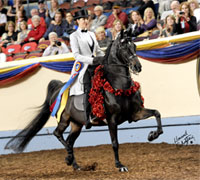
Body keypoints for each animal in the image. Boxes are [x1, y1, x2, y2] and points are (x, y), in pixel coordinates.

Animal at [5, 30, 163, 172]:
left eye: (135, 46)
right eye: (124, 47)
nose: (138, 67)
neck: (119, 86)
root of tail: (59, 88)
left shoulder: (135, 113)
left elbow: (157, 113)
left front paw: (152, 135)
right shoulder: (112, 119)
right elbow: (115, 143)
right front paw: (120, 165)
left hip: (77, 124)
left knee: (69, 141)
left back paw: (75, 165)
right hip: (64, 119)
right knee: (58, 134)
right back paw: (69, 159)